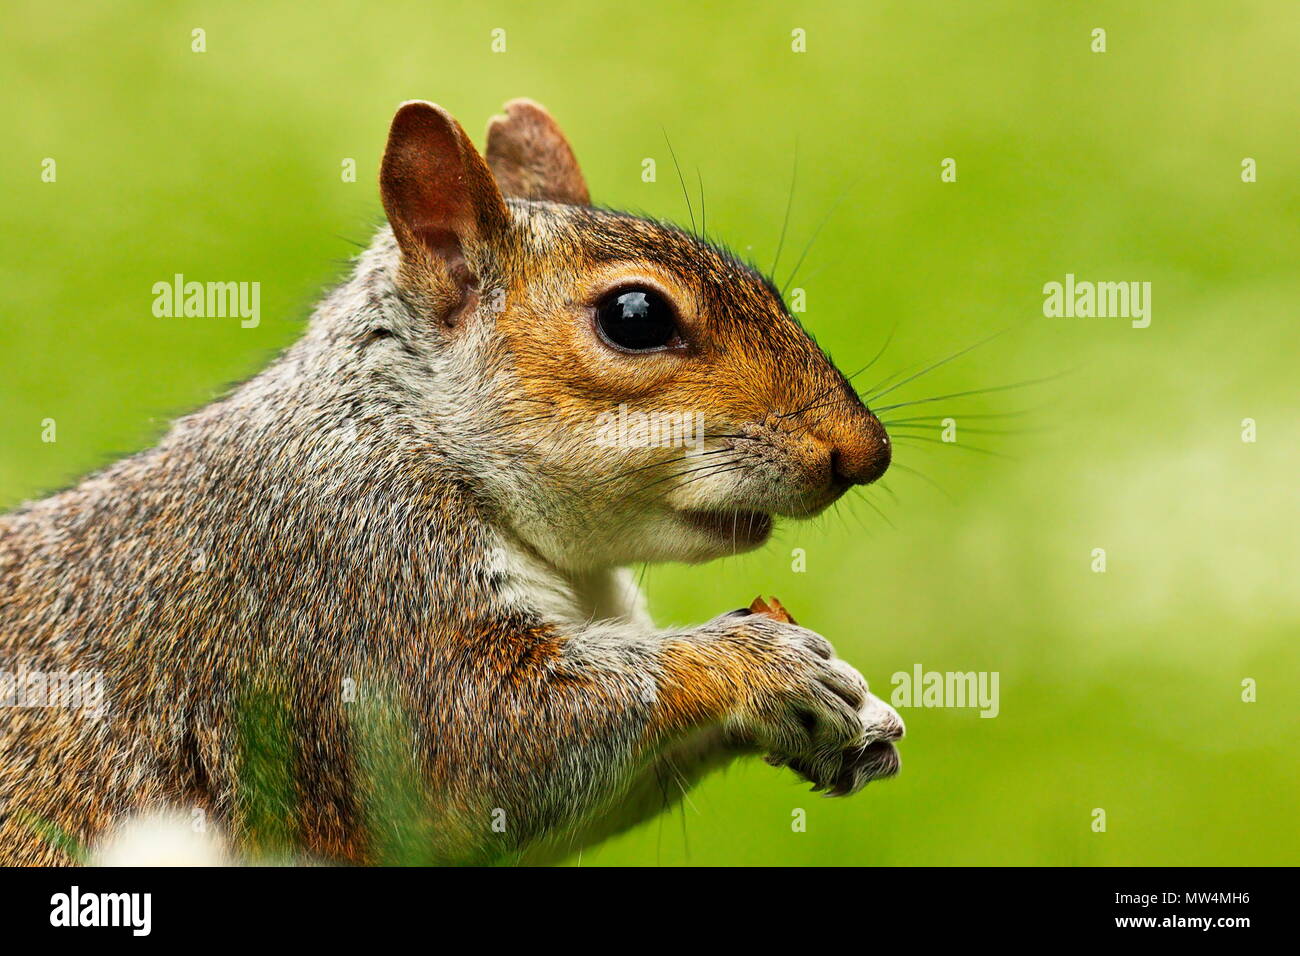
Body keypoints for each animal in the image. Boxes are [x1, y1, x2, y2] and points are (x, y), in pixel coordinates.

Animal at [0, 99, 902, 866]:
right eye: (635, 317)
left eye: (769, 288)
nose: (865, 453)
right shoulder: (349, 587)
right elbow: (481, 744)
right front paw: (760, 662)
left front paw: (846, 717)